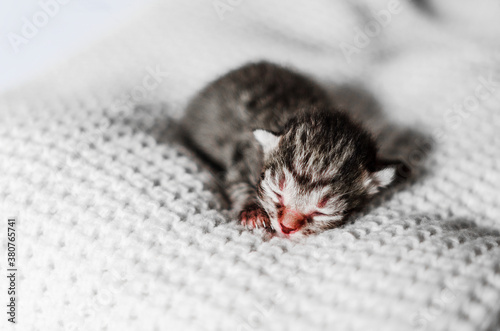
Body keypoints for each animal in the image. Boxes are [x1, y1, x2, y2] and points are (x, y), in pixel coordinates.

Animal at [181, 62, 398, 237]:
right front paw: (253, 211)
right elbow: (239, 182)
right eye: (278, 192)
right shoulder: (245, 155)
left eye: (321, 212)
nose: (286, 227)